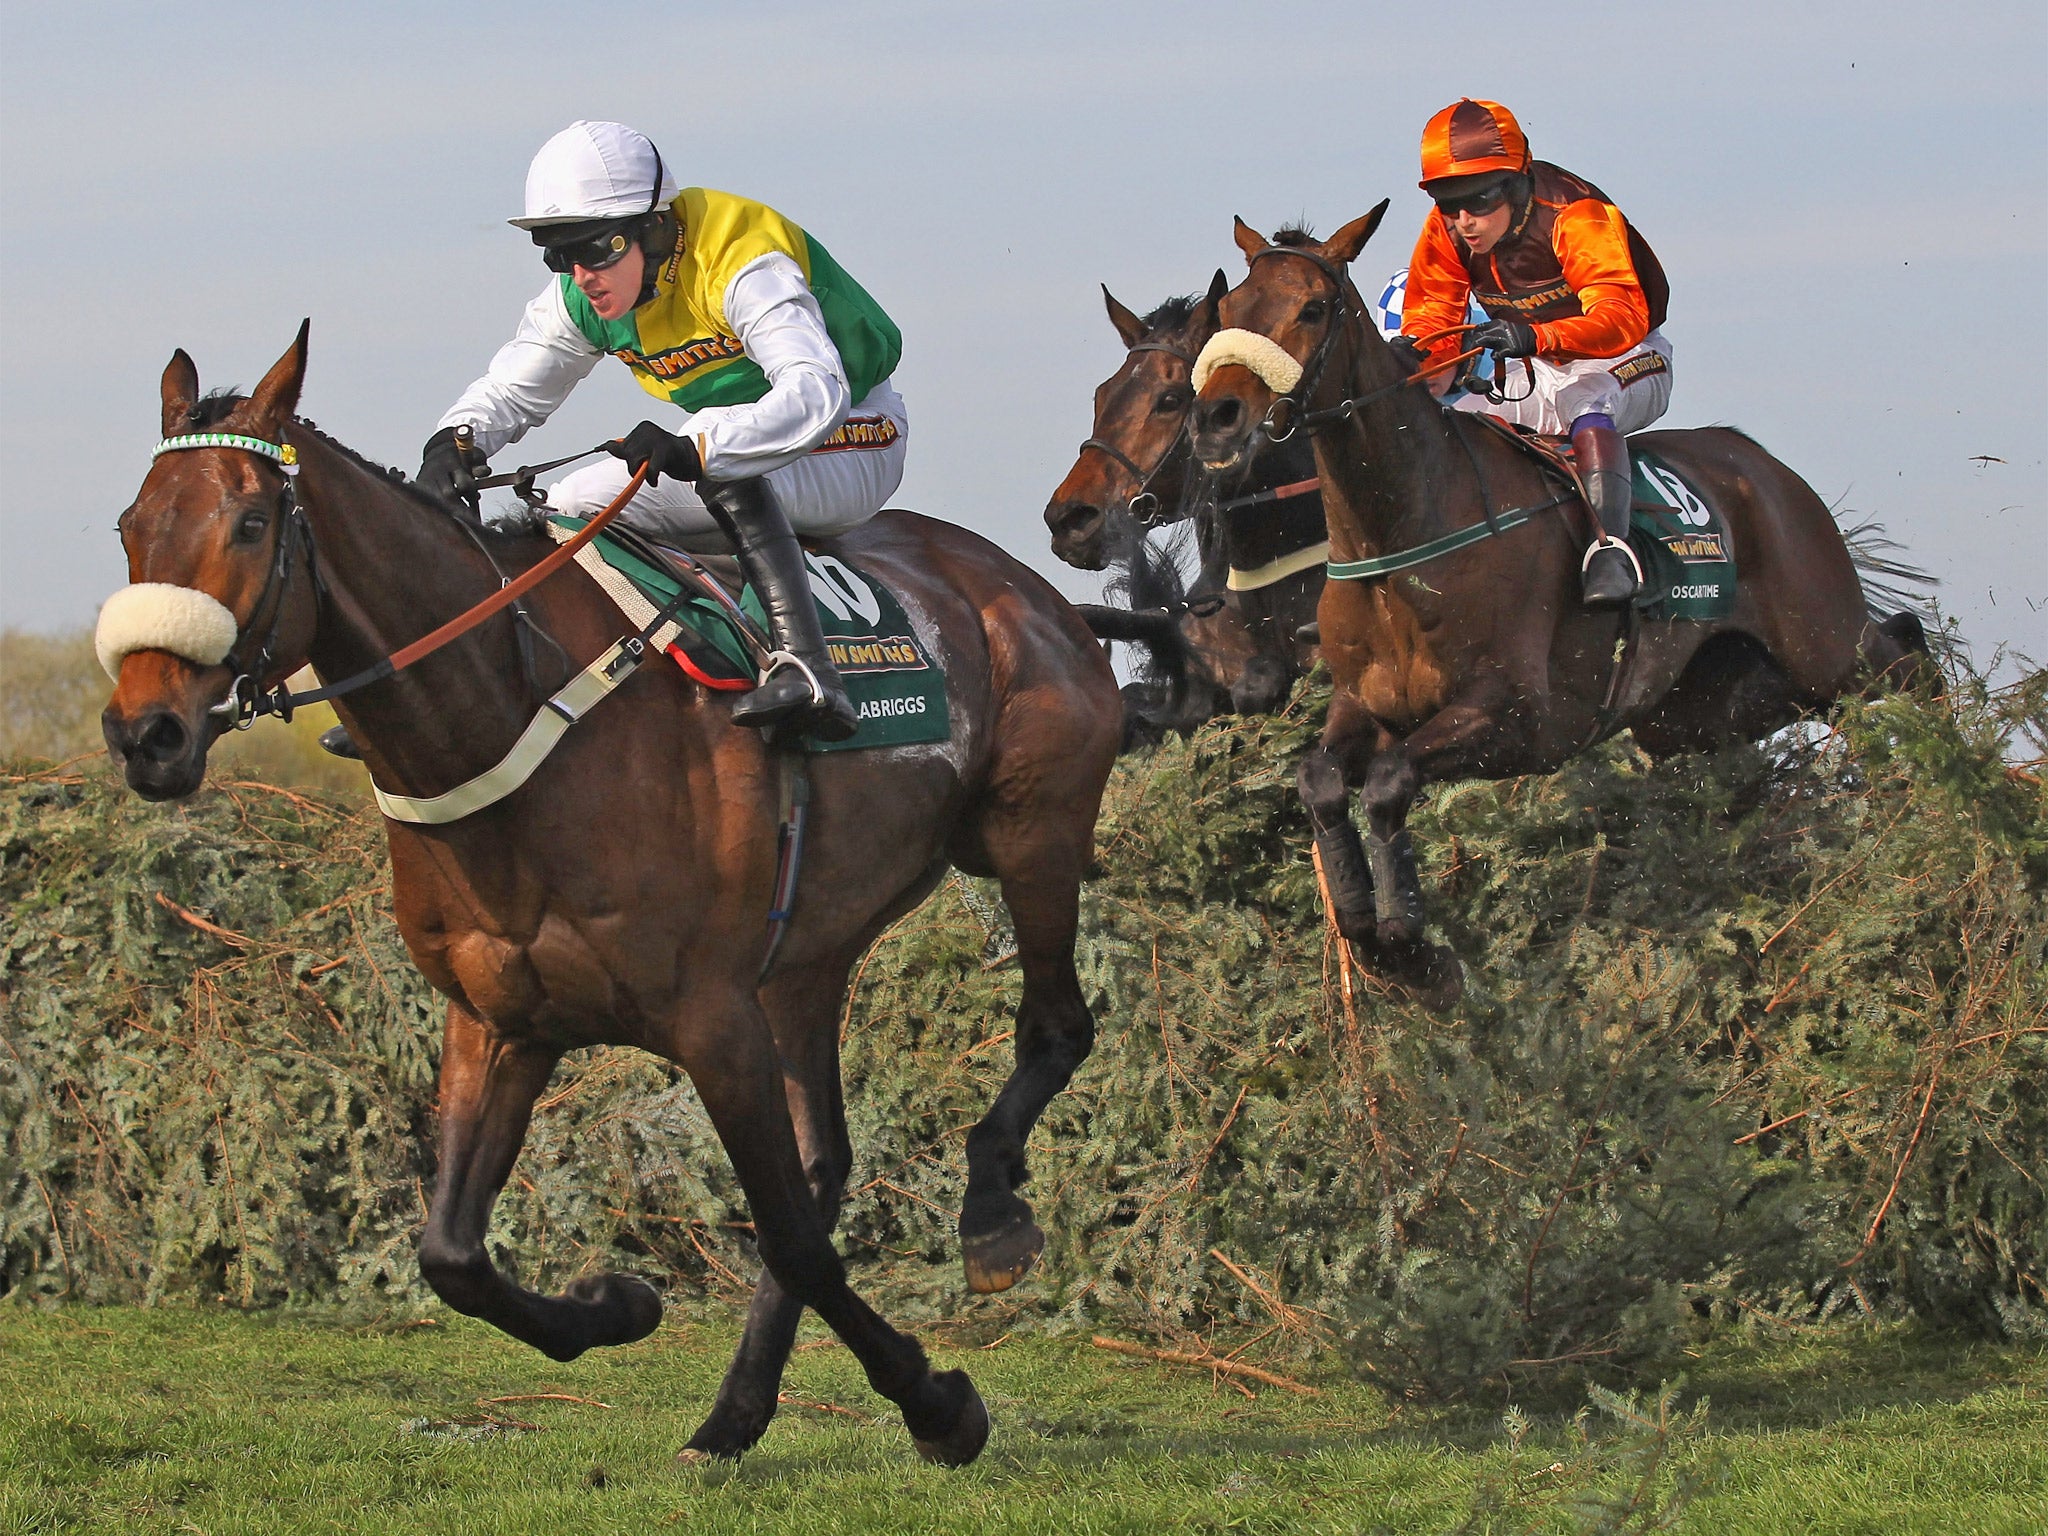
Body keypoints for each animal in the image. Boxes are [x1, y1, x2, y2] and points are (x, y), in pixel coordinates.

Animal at [96, 327, 1122, 1466]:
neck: (519, 712)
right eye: (132, 524)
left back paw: (990, 1213)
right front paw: (614, 1305)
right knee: (823, 1162)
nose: (147, 734)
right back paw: (734, 1413)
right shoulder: (501, 1017)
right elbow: (451, 1254)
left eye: (248, 522)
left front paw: (939, 1403)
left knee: (1055, 1028)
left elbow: (794, 1243)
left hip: (1030, 832)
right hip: (804, 959)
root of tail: (1026, 589)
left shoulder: (712, 1019)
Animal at [1187, 210, 1916, 1011]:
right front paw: (1370, 935)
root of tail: (1764, 466)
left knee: (1904, 658)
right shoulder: (1364, 703)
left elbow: (1387, 784)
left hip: (1824, 640)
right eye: (1228, 311)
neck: (1401, 530)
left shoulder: (1520, 717)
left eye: (1313, 309)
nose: (1216, 418)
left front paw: (1413, 953)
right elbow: (1319, 781)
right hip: (1698, 709)